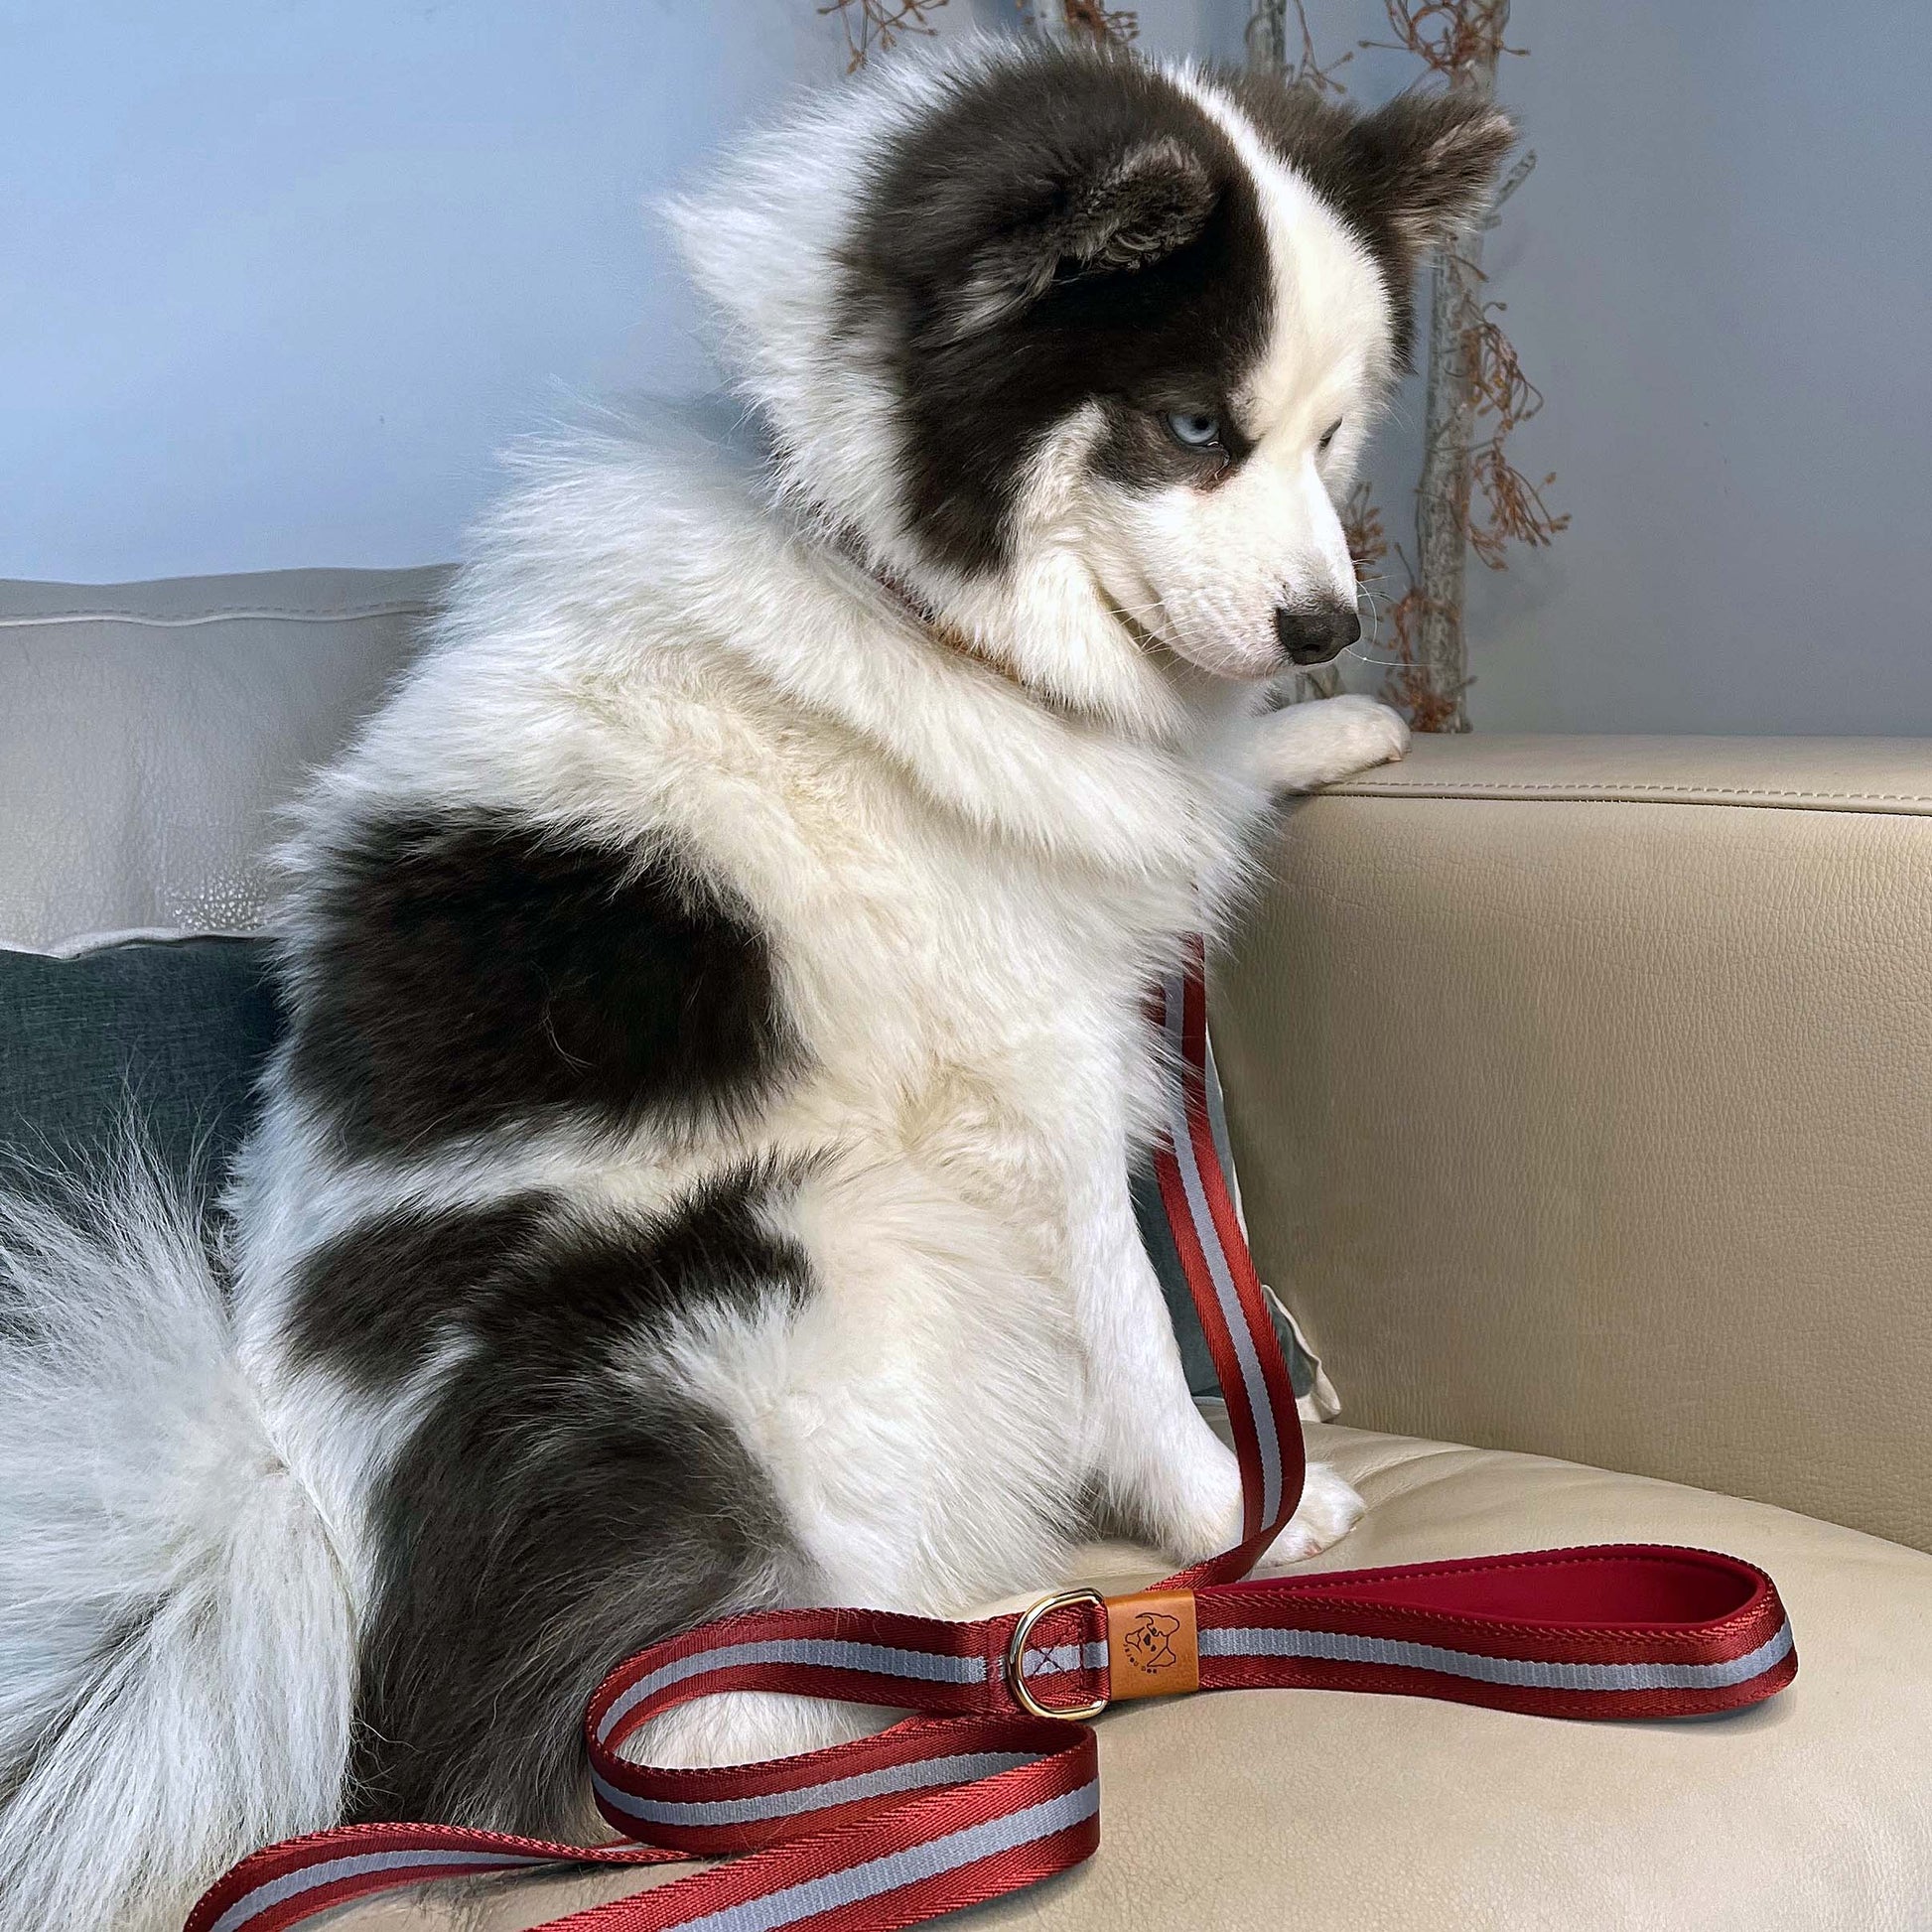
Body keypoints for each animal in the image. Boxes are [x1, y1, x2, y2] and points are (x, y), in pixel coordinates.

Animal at [0, 37, 1506, 1924]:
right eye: (1189, 429)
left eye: (1329, 437)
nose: (1327, 626)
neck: (909, 594)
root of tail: (290, 1505)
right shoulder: (1041, 1078)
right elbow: (1129, 1329)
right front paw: (1243, 1508)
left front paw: (1339, 732)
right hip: (799, 1272)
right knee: (661, 1703)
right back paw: (983, 1659)